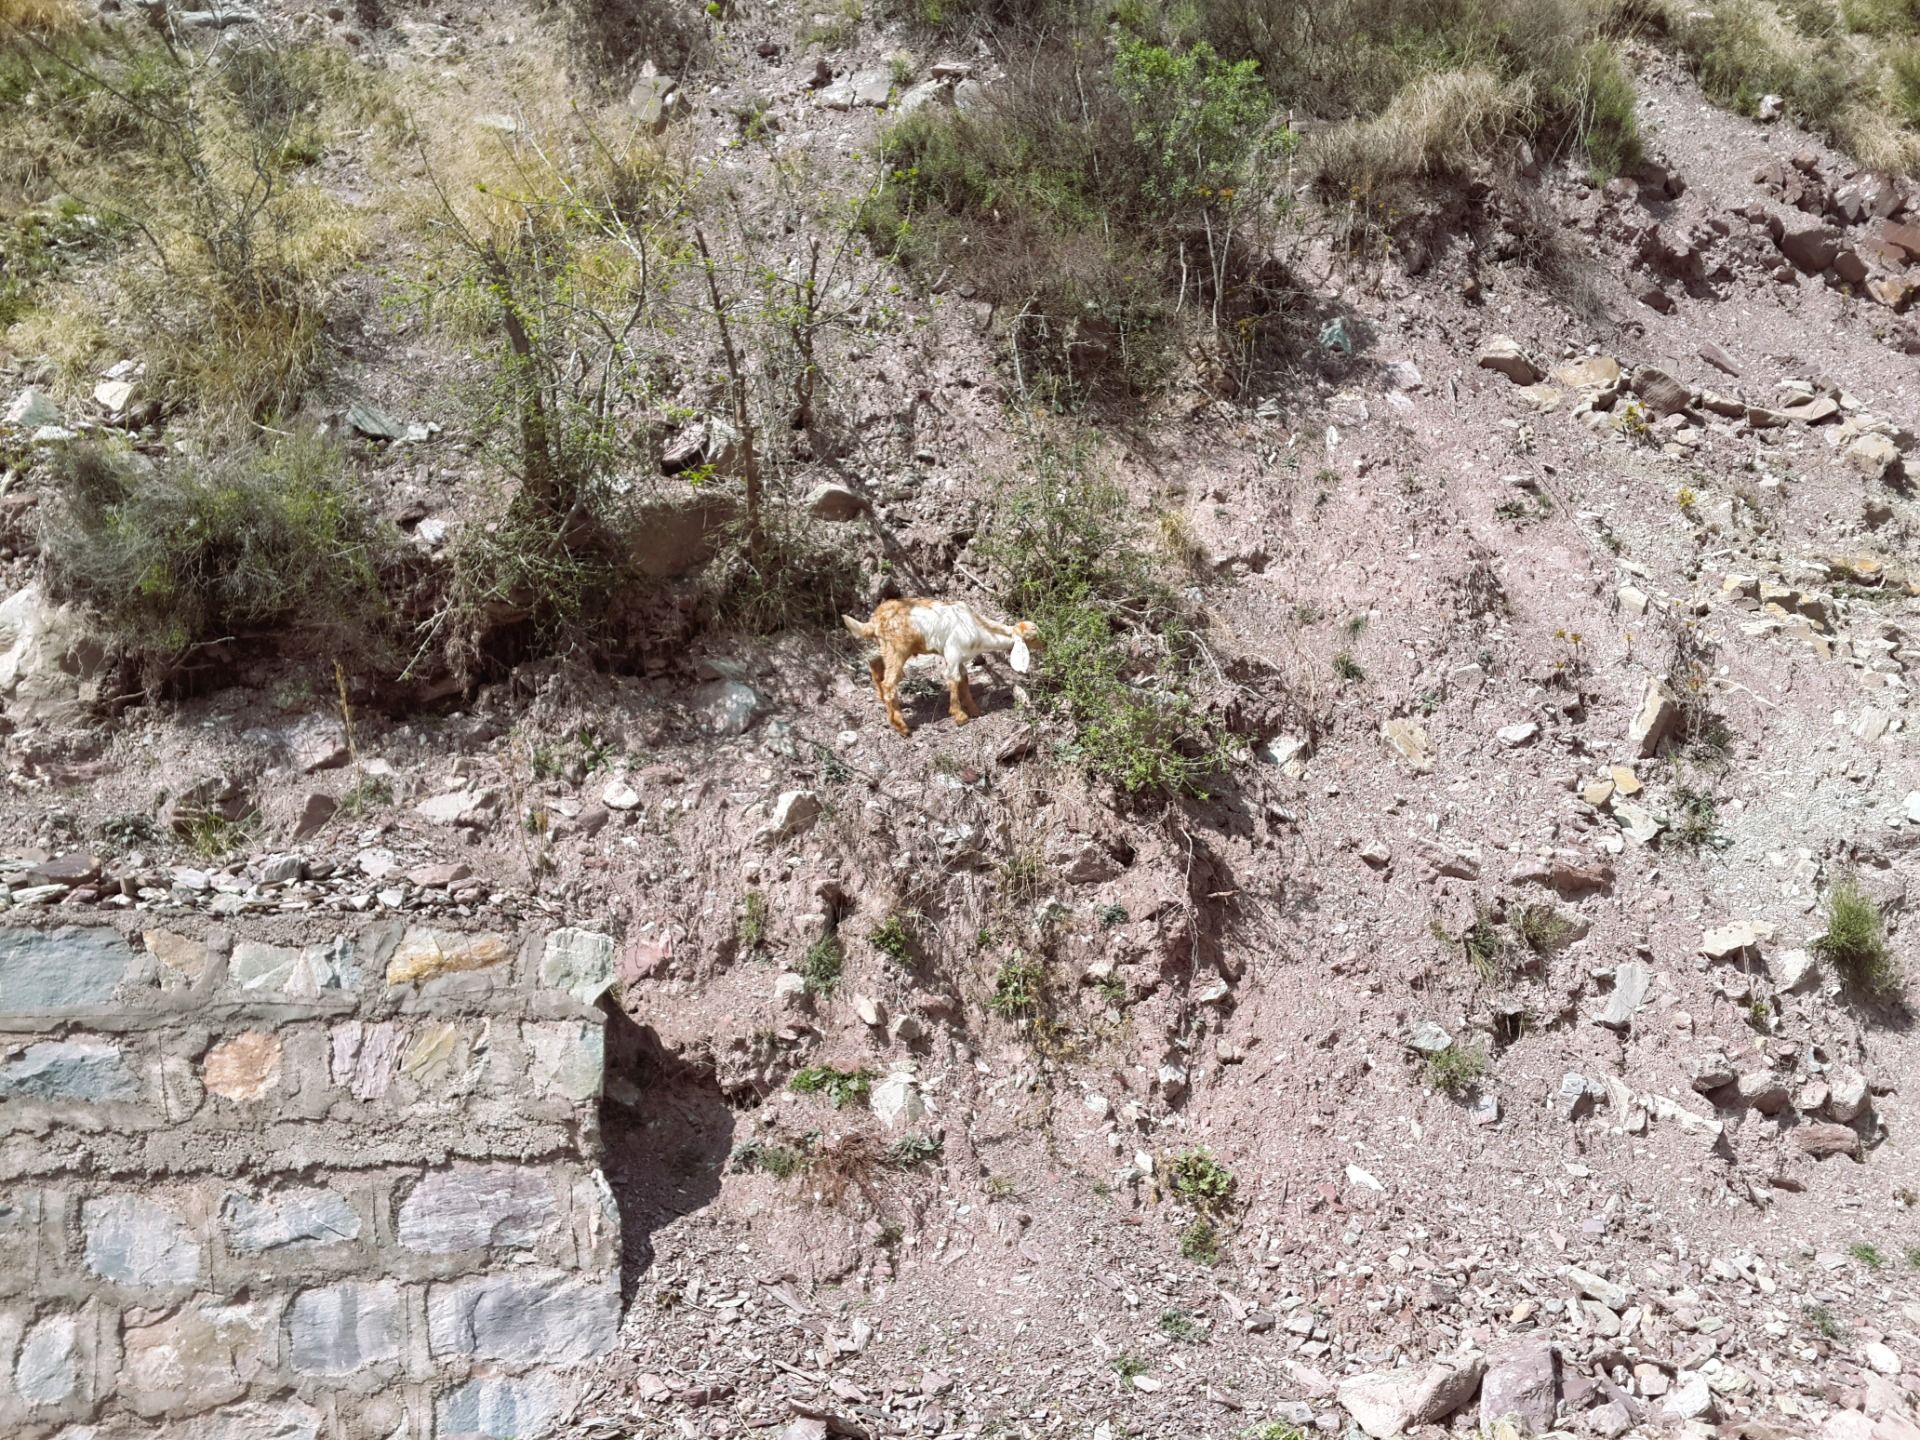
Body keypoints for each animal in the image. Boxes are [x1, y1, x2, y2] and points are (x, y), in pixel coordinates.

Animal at [842, 599, 1037, 735]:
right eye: (1033, 637)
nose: (1043, 644)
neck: (977, 628)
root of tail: (874, 620)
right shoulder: (953, 651)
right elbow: (953, 678)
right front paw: (960, 716)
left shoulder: (958, 657)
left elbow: (964, 678)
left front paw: (974, 710)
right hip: (897, 649)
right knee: (889, 683)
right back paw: (902, 727)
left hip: (887, 648)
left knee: (875, 663)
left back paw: (885, 701)